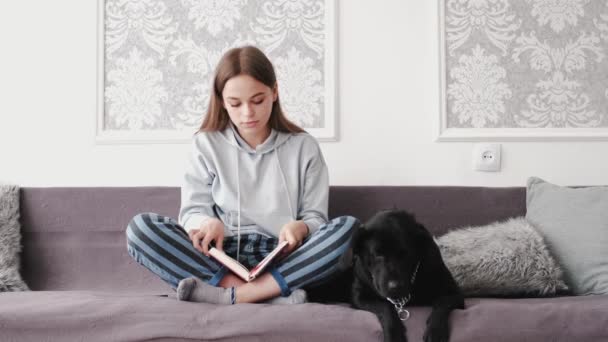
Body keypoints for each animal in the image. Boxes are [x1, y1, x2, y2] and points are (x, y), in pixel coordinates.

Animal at [308, 208, 466, 342]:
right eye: (377, 254)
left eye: (406, 253)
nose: (394, 287)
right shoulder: (359, 297)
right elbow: (385, 306)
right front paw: (394, 334)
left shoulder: (454, 293)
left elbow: (441, 304)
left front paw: (435, 331)